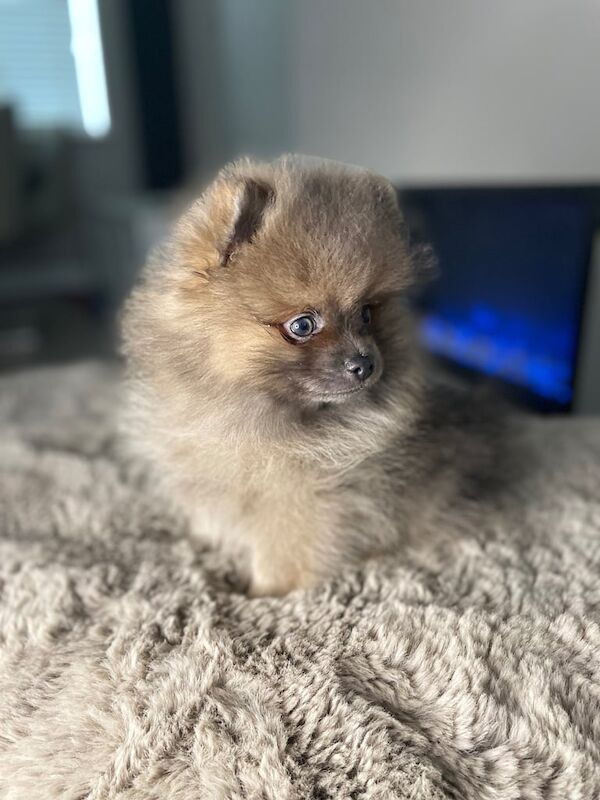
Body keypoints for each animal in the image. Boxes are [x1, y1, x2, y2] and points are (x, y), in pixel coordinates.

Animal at [123, 156, 502, 592]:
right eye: (303, 325)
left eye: (367, 314)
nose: (365, 363)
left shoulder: (302, 507)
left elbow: (279, 563)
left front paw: (263, 595)